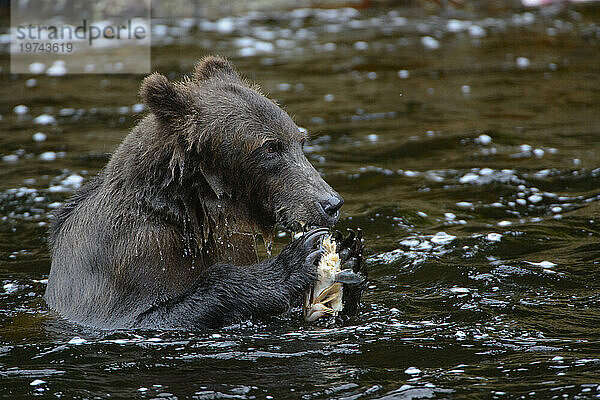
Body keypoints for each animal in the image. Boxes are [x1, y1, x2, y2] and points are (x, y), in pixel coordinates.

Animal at [44, 57, 364, 332]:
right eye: (271, 147)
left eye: (300, 140)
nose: (331, 203)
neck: (194, 211)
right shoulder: (130, 254)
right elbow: (151, 314)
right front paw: (293, 262)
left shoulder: (230, 240)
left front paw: (349, 253)